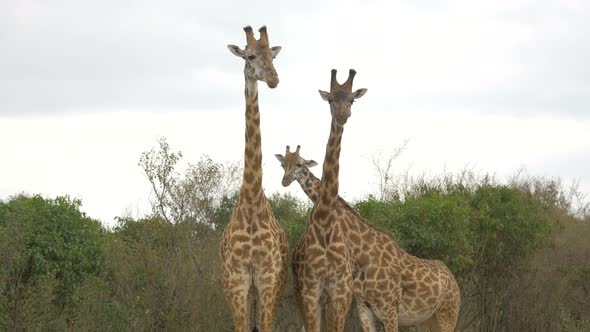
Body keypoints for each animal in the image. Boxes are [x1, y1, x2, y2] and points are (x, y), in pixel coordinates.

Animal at [276, 150, 464, 332]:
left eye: (300, 164)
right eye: (283, 164)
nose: (285, 180)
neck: (363, 253)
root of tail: (454, 281)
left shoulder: (390, 309)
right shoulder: (364, 309)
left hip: (448, 313)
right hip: (432, 318)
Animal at [290, 69, 368, 332]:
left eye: (352, 99)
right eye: (330, 100)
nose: (342, 116)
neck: (325, 219)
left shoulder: (341, 293)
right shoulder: (311, 291)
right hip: (301, 293)